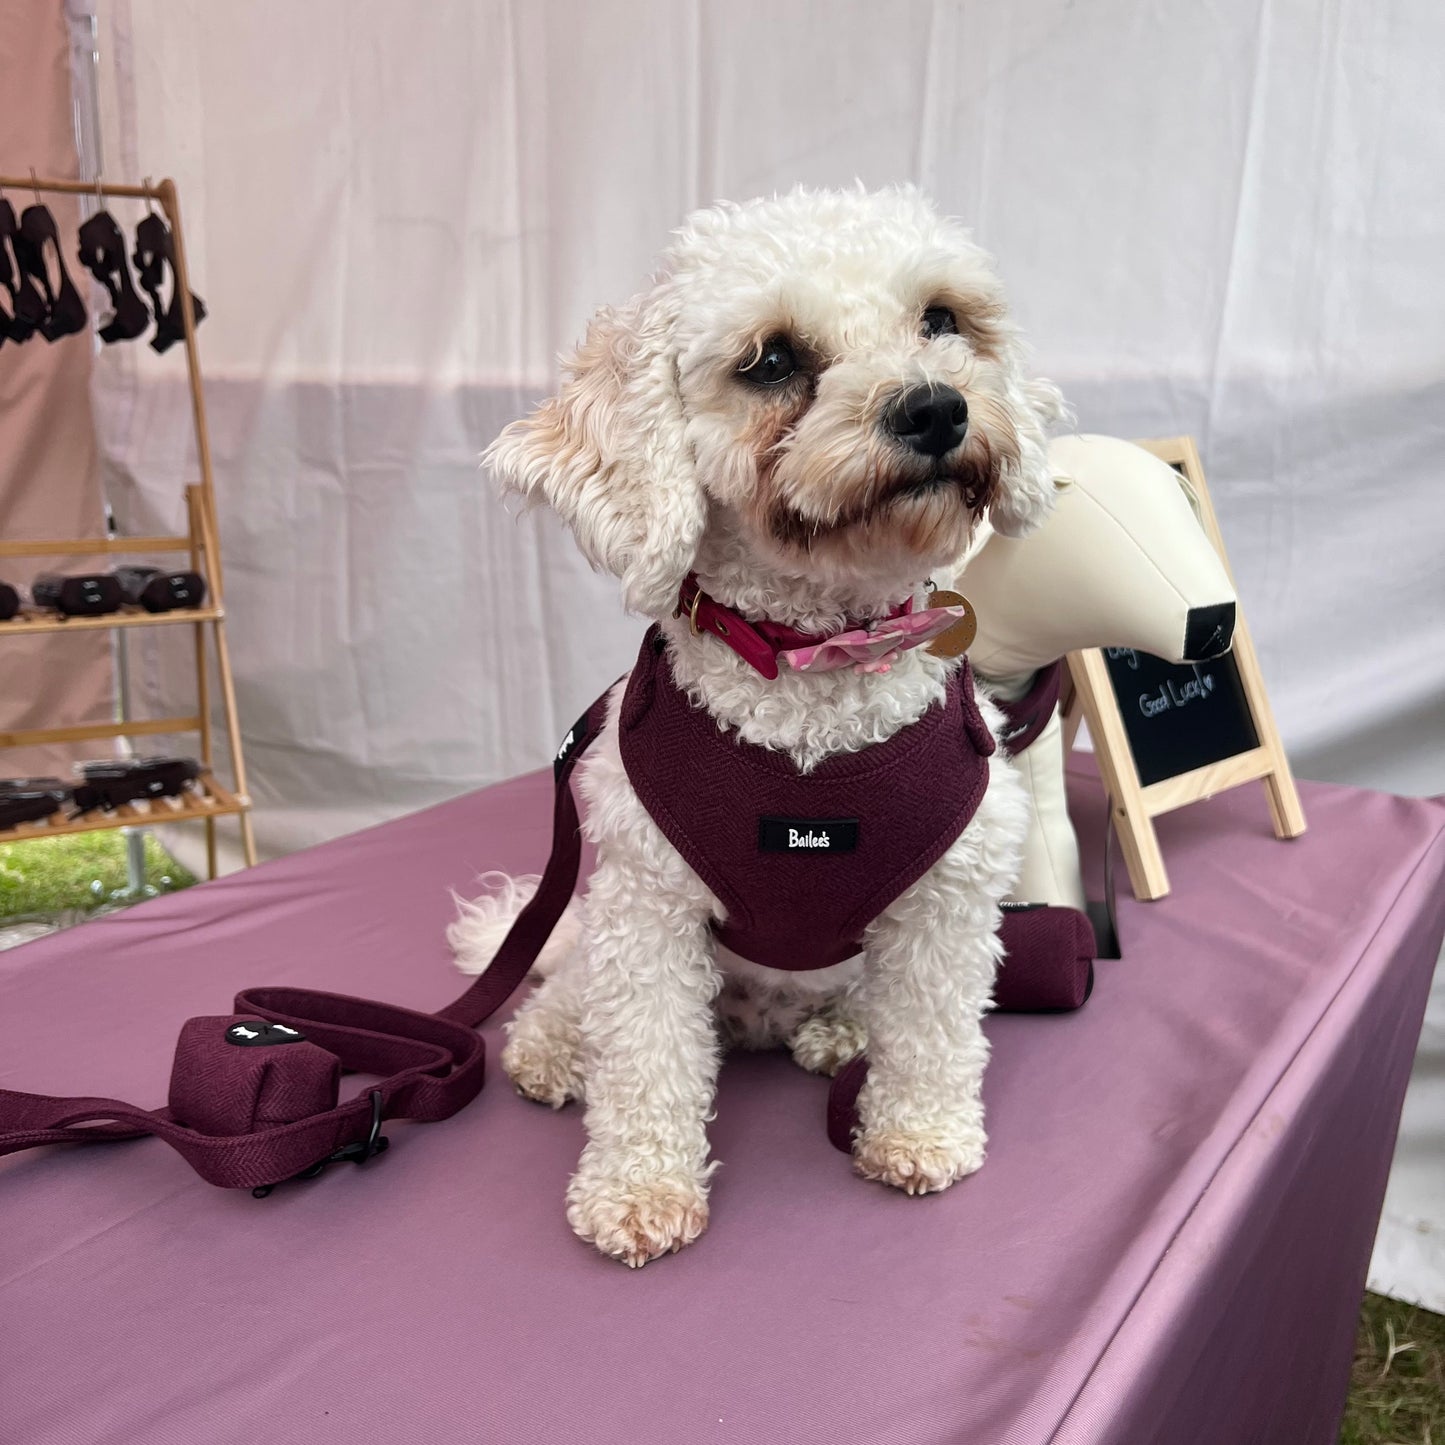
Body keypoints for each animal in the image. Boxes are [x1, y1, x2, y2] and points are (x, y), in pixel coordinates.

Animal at [456, 183, 1069, 1265]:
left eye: (941, 319)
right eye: (772, 360)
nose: (934, 405)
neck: (813, 664)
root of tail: (755, 1014)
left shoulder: (946, 897)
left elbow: (933, 1028)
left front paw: (920, 1134)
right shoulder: (650, 902)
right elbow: (645, 1056)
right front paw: (637, 1189)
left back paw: (841, 1032)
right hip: (605, 923)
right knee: (578, 989)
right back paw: (554, 1044)